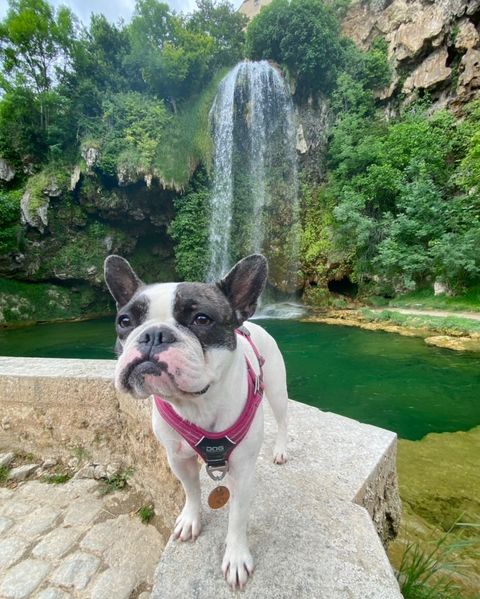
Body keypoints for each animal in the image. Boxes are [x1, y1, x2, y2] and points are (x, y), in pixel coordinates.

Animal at [103, 253, 286, 592]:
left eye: (201, 319)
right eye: (125, 321)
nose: (153, 334)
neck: (197, 402)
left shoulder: (243, 471)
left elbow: (237, 516)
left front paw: (236, 557)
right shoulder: (177, 458)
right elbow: (190, 491)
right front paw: (191, 520)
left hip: (277, 389)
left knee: (284, 420)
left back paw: (281, 449)